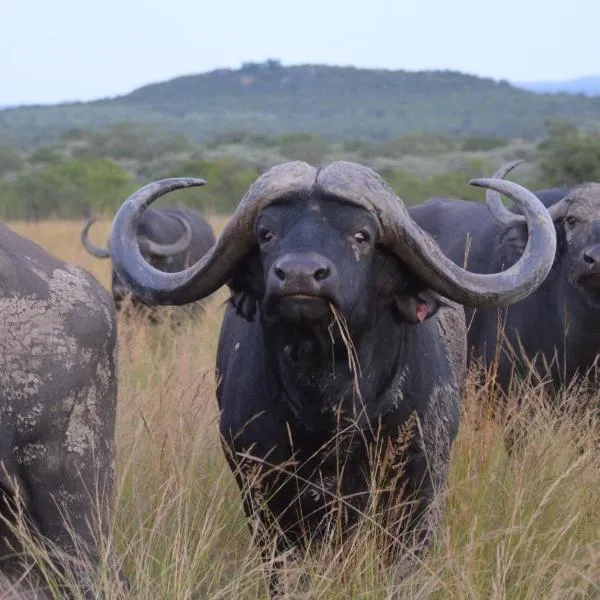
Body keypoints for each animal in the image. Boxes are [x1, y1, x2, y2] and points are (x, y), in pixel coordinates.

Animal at [105, 161, 556, 596]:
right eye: (266, 233)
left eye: (361, 235)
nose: (299, 274)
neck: (330, 404)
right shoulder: (260, 486)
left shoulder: (420, 481)